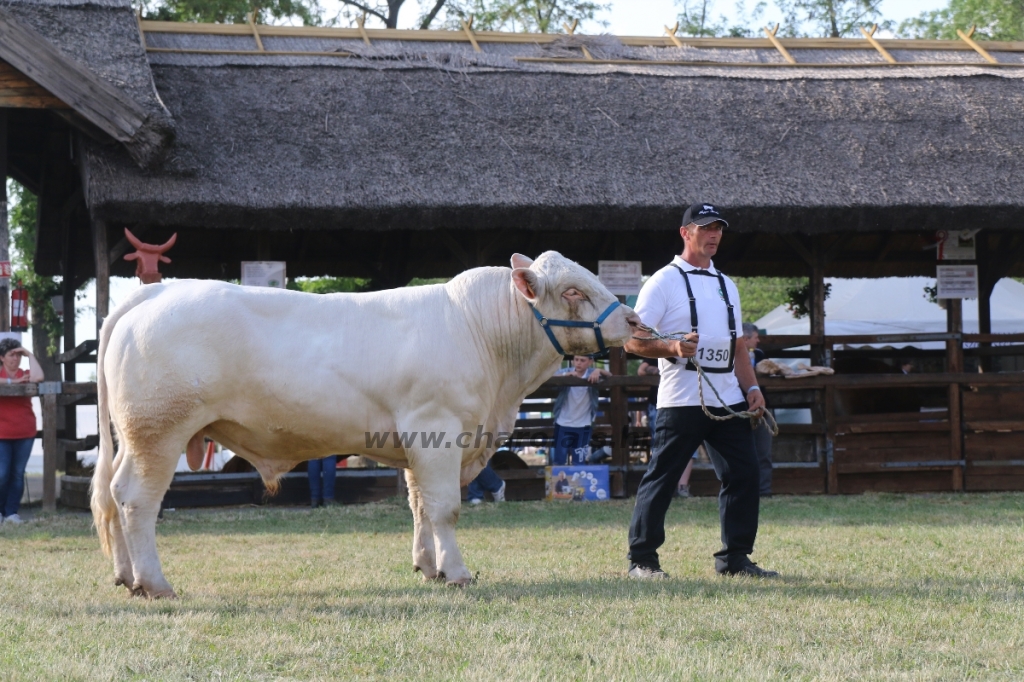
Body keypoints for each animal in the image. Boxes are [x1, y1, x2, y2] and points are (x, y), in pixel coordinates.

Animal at [92, 250, 643, 593]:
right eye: (572, 291)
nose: (635, 321)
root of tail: (155, 293)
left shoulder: (419, 442)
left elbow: (419, 507)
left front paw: (427, 567)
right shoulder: (439, 432)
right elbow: (444, 509)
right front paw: (457, 572)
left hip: (132, 437)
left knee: (111, 496)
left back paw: (124, 576)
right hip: (159, 431)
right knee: (137, 500)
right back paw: (154, 583)